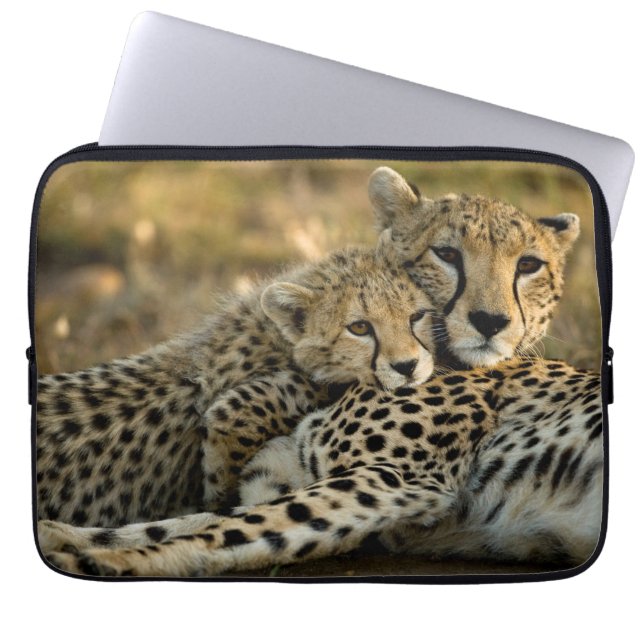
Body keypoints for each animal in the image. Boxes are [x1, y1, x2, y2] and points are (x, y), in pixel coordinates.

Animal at [36, 232, 436, 527]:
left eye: (417, 316)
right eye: (359, 327)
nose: (408, 366)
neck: (273, 335)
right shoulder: (244, 407)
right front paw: (218, 500)